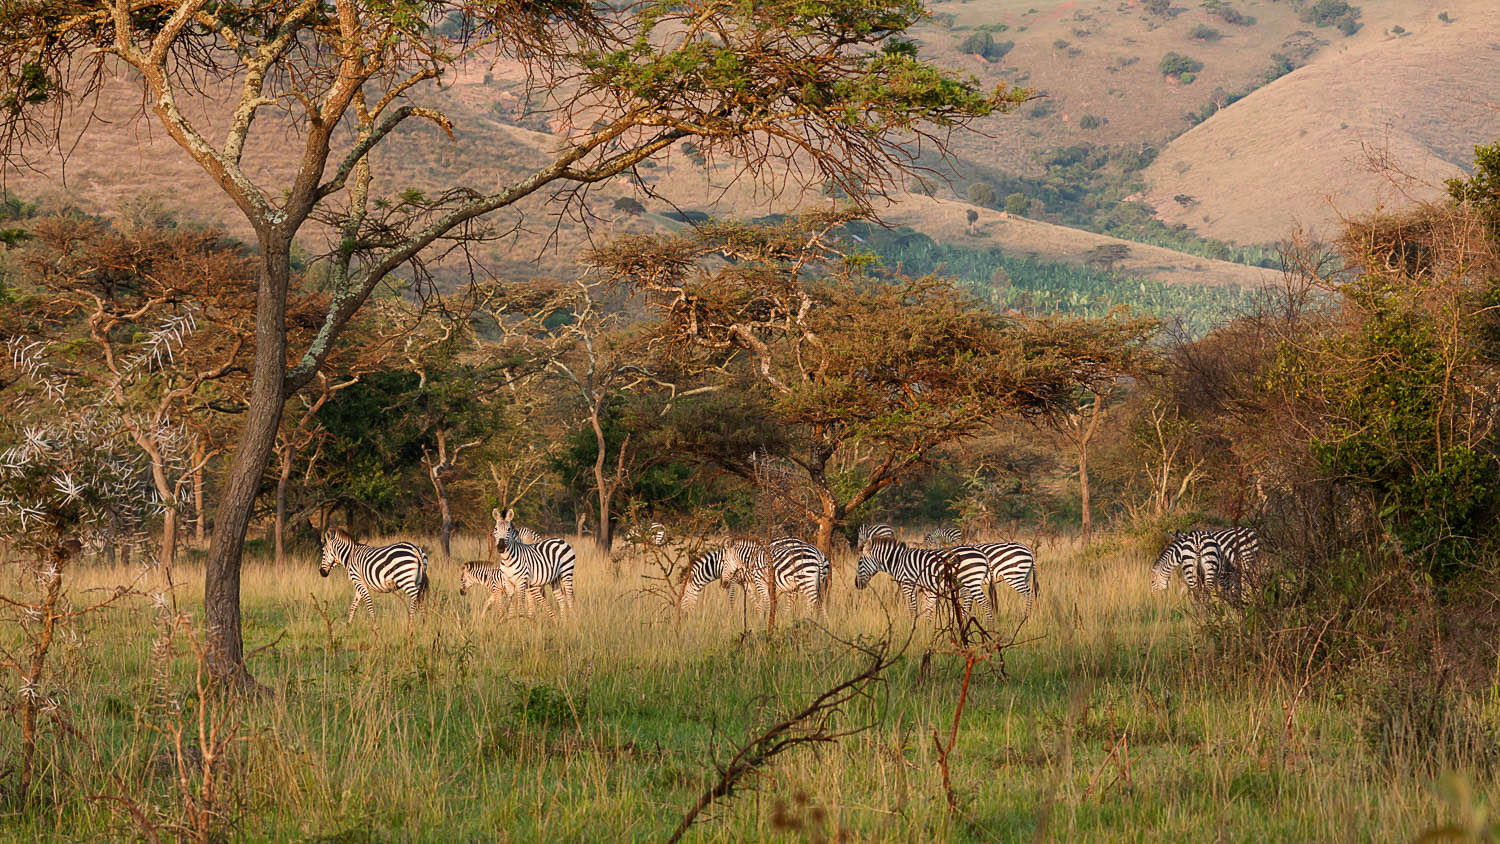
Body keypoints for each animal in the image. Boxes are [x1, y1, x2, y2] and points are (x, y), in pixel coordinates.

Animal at [854, 537, 993, 620]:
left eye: (860, 562)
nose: (856, 585)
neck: (897, 561)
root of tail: (982, 554)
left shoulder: (908, 584)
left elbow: (912, 607)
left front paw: (912, 625)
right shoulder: (928, 588)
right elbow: (928, 608)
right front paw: (927, 629)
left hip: (971, 581)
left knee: (986, 604)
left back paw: (990, 625)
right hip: (967, 583)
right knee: (969, 602)